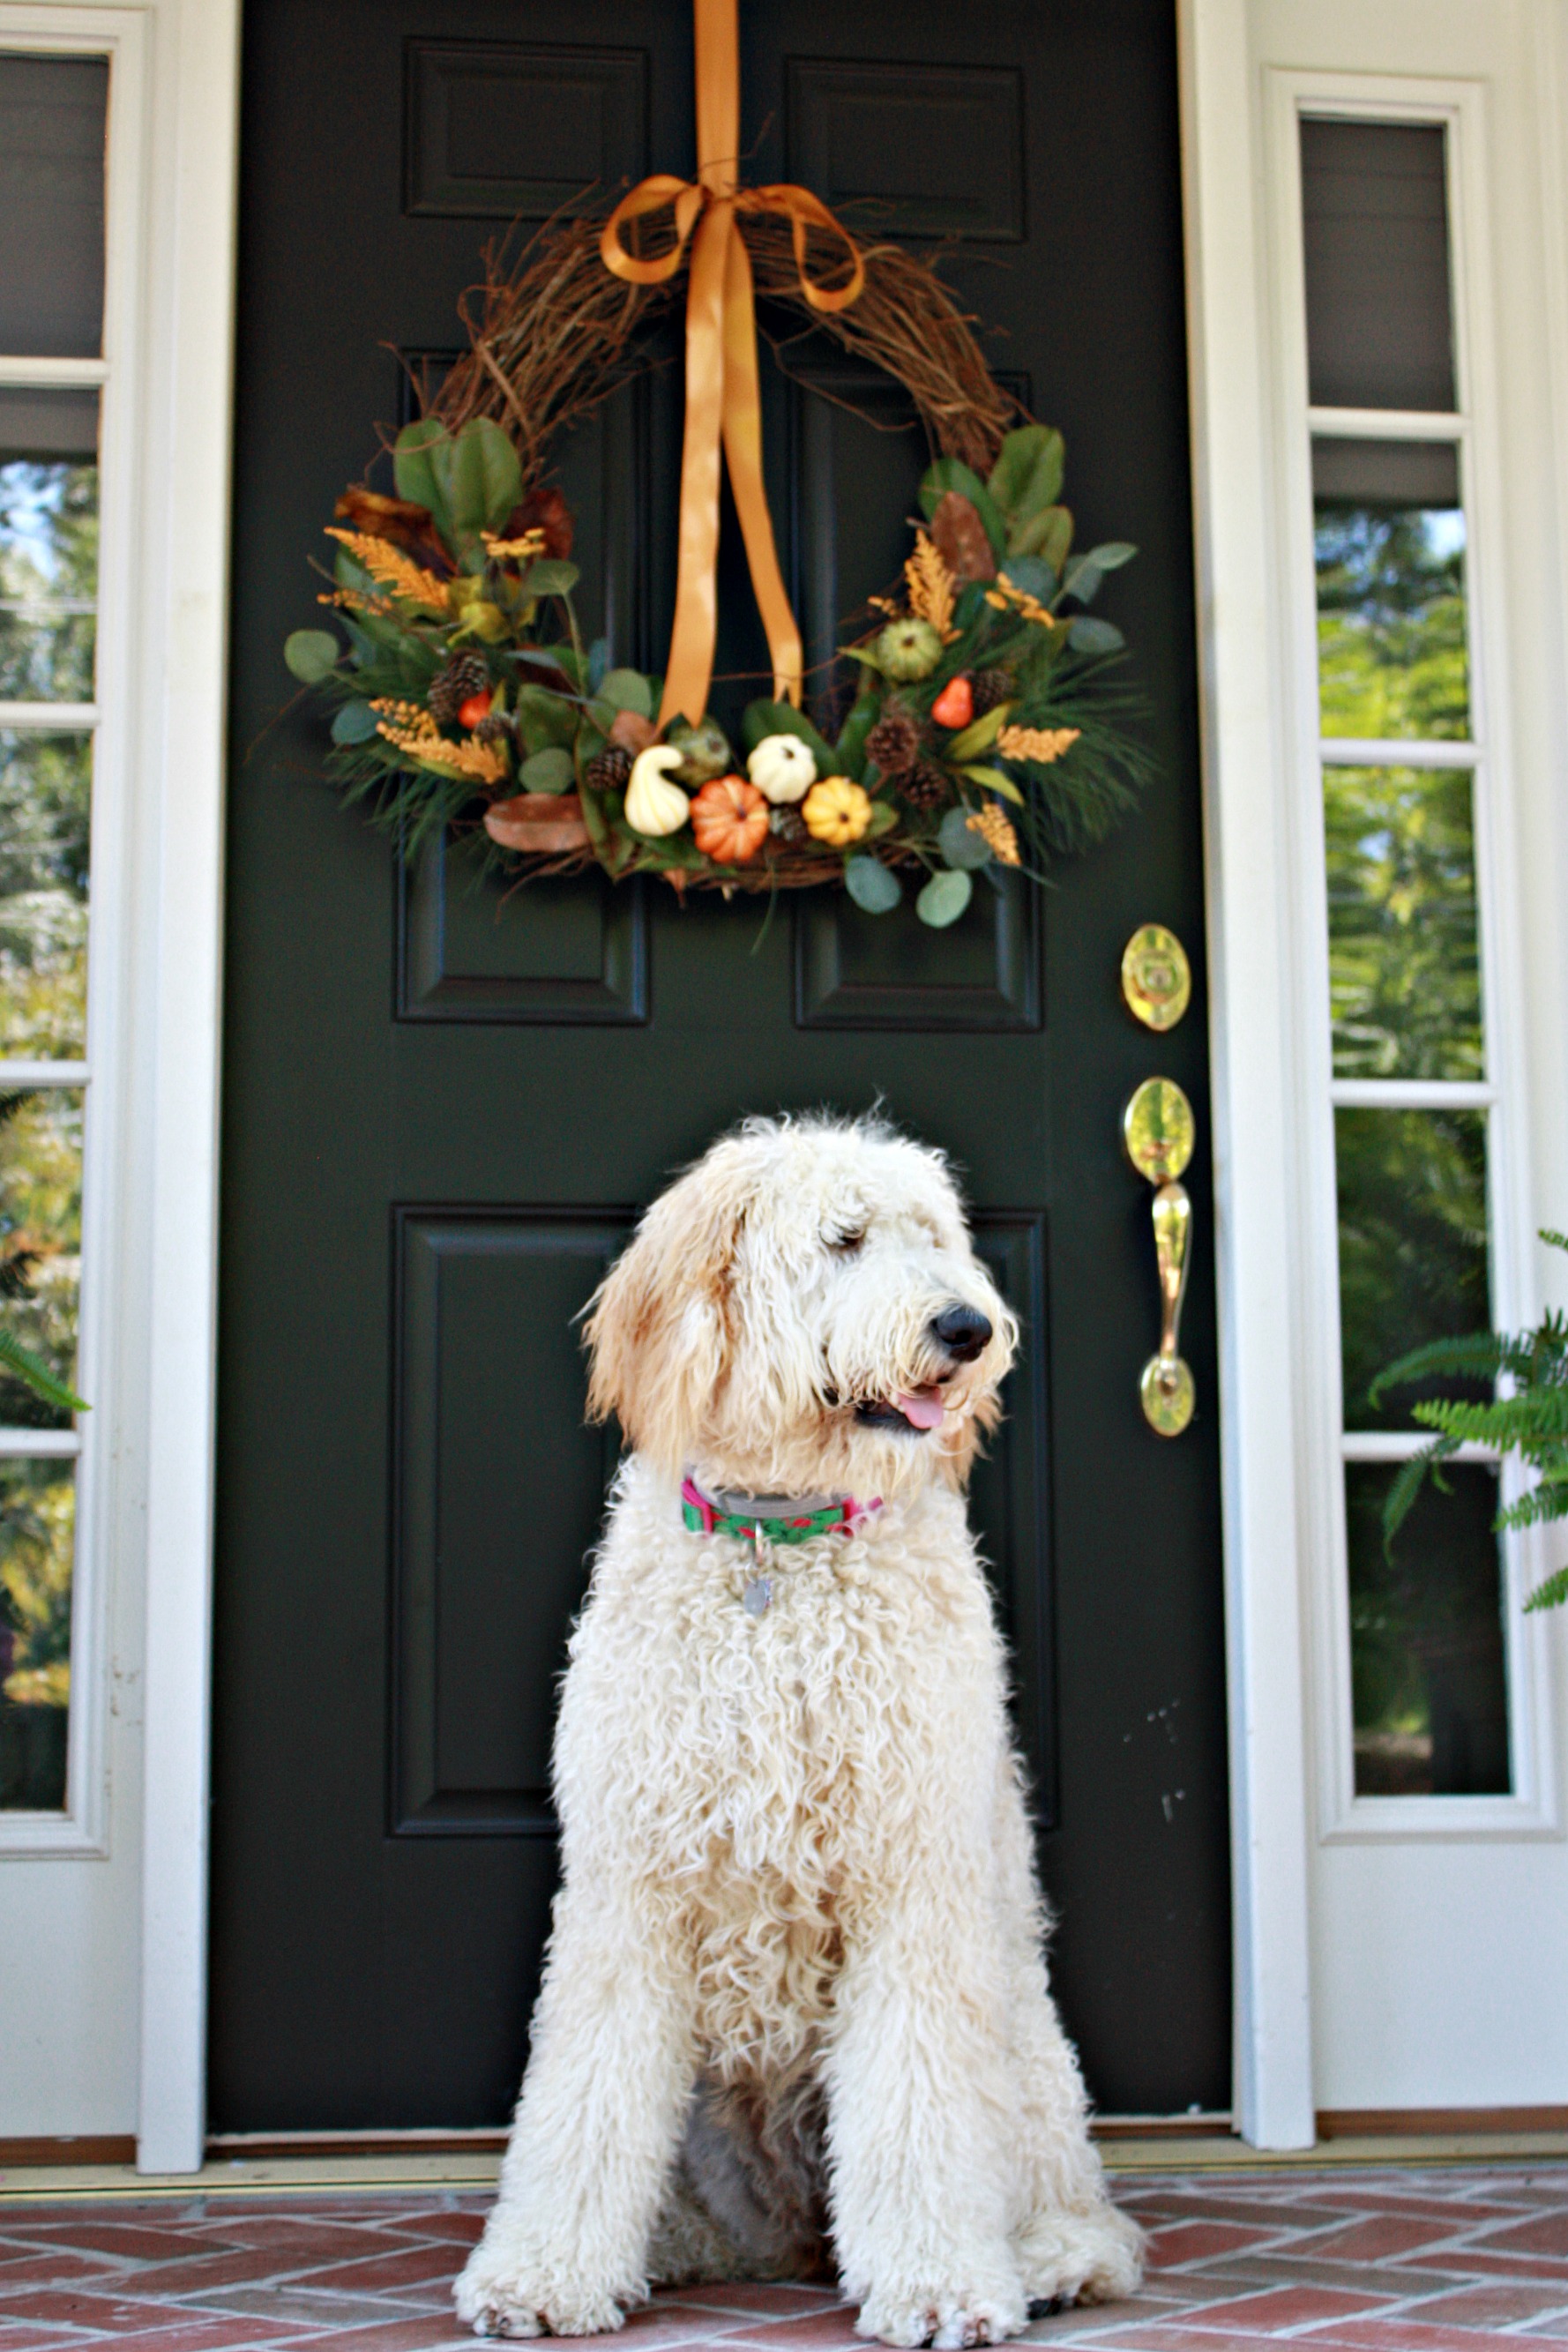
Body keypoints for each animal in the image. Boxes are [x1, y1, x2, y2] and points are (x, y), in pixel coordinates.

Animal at [453, 1109, 1142, 2342]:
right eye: (844, 1238)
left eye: (934, 1237)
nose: (968, 1327)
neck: (779, 1545)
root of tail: (787, 2234)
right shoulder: (628, 1890)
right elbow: (582, 2097)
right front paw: (543, 2272)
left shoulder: (910, 1882)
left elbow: (918, 2106)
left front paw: (938, 2284)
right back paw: (668, 2250)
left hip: (1021, 2042)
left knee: (1075, 2206)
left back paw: (1048, 2257)